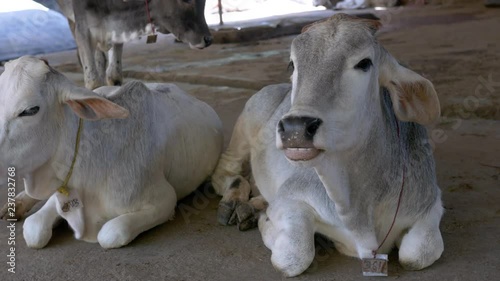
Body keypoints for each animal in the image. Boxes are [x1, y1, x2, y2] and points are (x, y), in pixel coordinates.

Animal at [213, 13, 444, 276]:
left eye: (364, 63)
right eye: (292, 65)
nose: (295, 129)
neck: (356, 208)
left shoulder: (431, 202)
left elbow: (416, 255)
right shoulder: (292, 197)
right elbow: (293, 256)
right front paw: (266, 221)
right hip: (246, 124)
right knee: (226, 170)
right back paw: (234, 200)